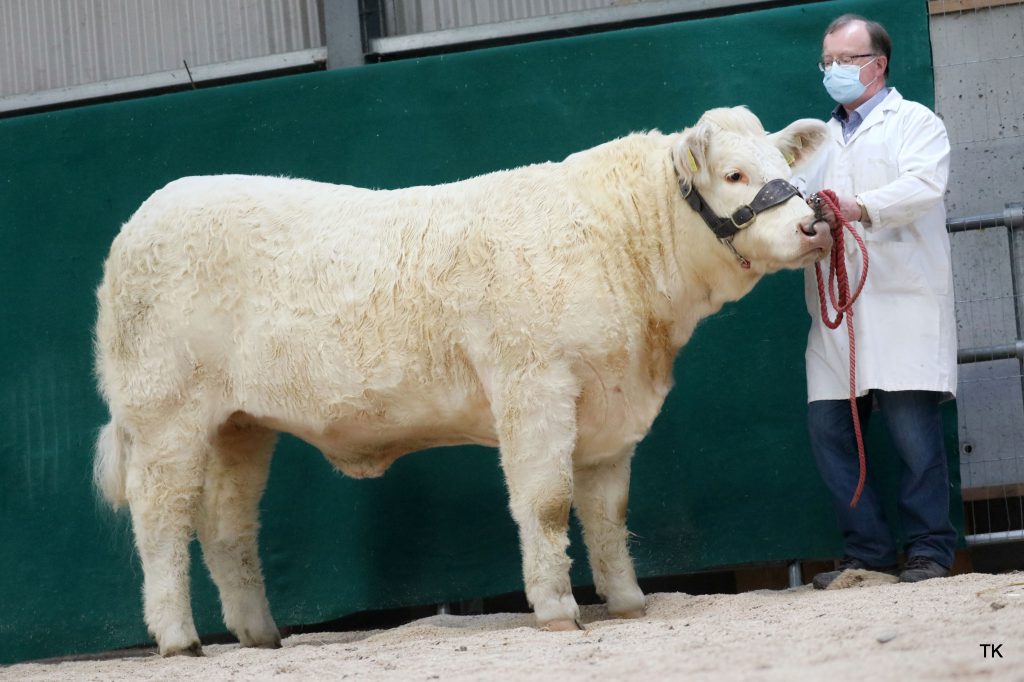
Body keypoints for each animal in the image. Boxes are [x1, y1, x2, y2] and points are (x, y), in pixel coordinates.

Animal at [93, 106, 829, 656]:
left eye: (785, 168)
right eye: (734, 174)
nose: (813, 223)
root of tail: (147, 215)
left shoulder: (611, 408)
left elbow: (608, 513)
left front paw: (627, 603)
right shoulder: (534, 385)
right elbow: (547, 503)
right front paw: (558, 609)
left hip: (240, 426)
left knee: (227, 525)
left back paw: (259, 635)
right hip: (165, 415)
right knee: (161, 520)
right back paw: (179, 639)